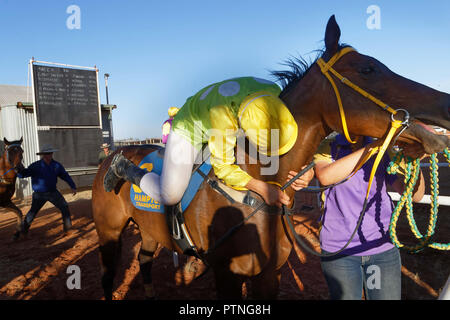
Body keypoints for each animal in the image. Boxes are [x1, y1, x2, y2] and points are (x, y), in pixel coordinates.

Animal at [91, 15, 450, 300]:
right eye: (368, 68)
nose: (445, 103)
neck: (256, 195)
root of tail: (113, 154)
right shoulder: (227, 276)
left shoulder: (269, 274)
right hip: (109, 233)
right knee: (108, 277)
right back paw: (119, 172)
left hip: (149, 232)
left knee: (144, 260)